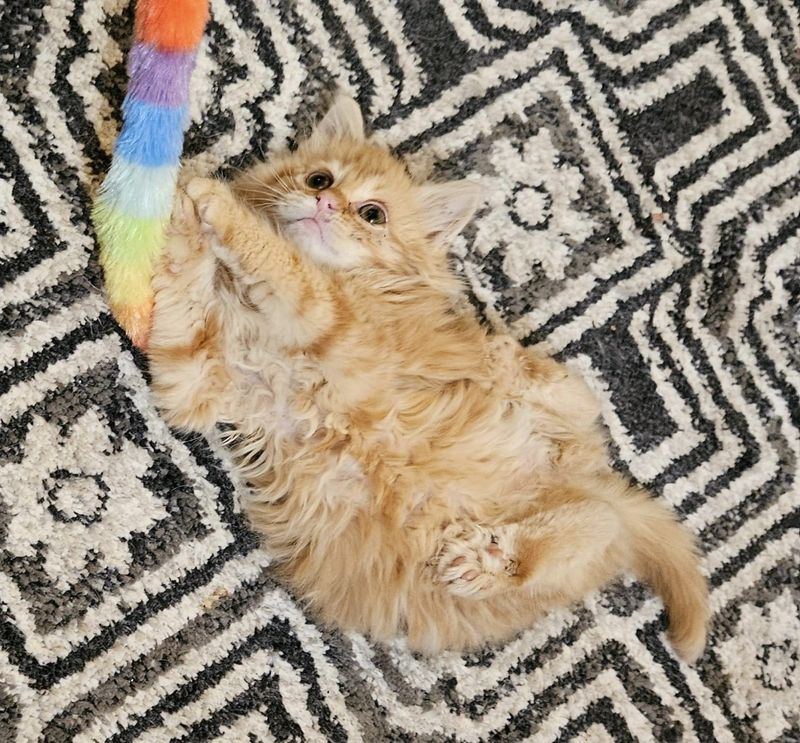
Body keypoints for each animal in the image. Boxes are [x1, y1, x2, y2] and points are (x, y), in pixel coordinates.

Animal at [147, 94, 708, 664]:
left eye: (372, 214)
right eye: (319, 179)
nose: (326, 205)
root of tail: (581, 475)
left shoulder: (340, 328)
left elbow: (282, 264)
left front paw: (212, 199)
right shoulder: (195, 379)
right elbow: (183, 292)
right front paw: (181, 207)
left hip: (562, 453)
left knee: (591, 477)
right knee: (597, 520)